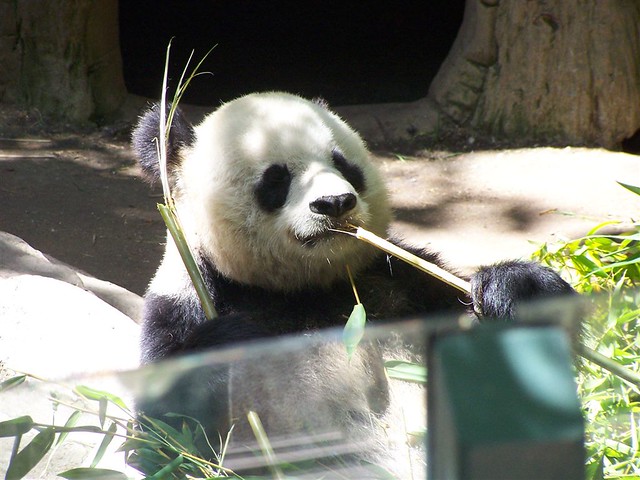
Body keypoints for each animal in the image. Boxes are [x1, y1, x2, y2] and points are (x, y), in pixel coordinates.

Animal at [131, 92, 574, 477]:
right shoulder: (186, 301)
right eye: (276, 179)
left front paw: (516, 290)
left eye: (344, 165)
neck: (308, 287)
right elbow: (163, 439)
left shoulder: (398, 281)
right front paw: (234, 344)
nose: (334, 203)